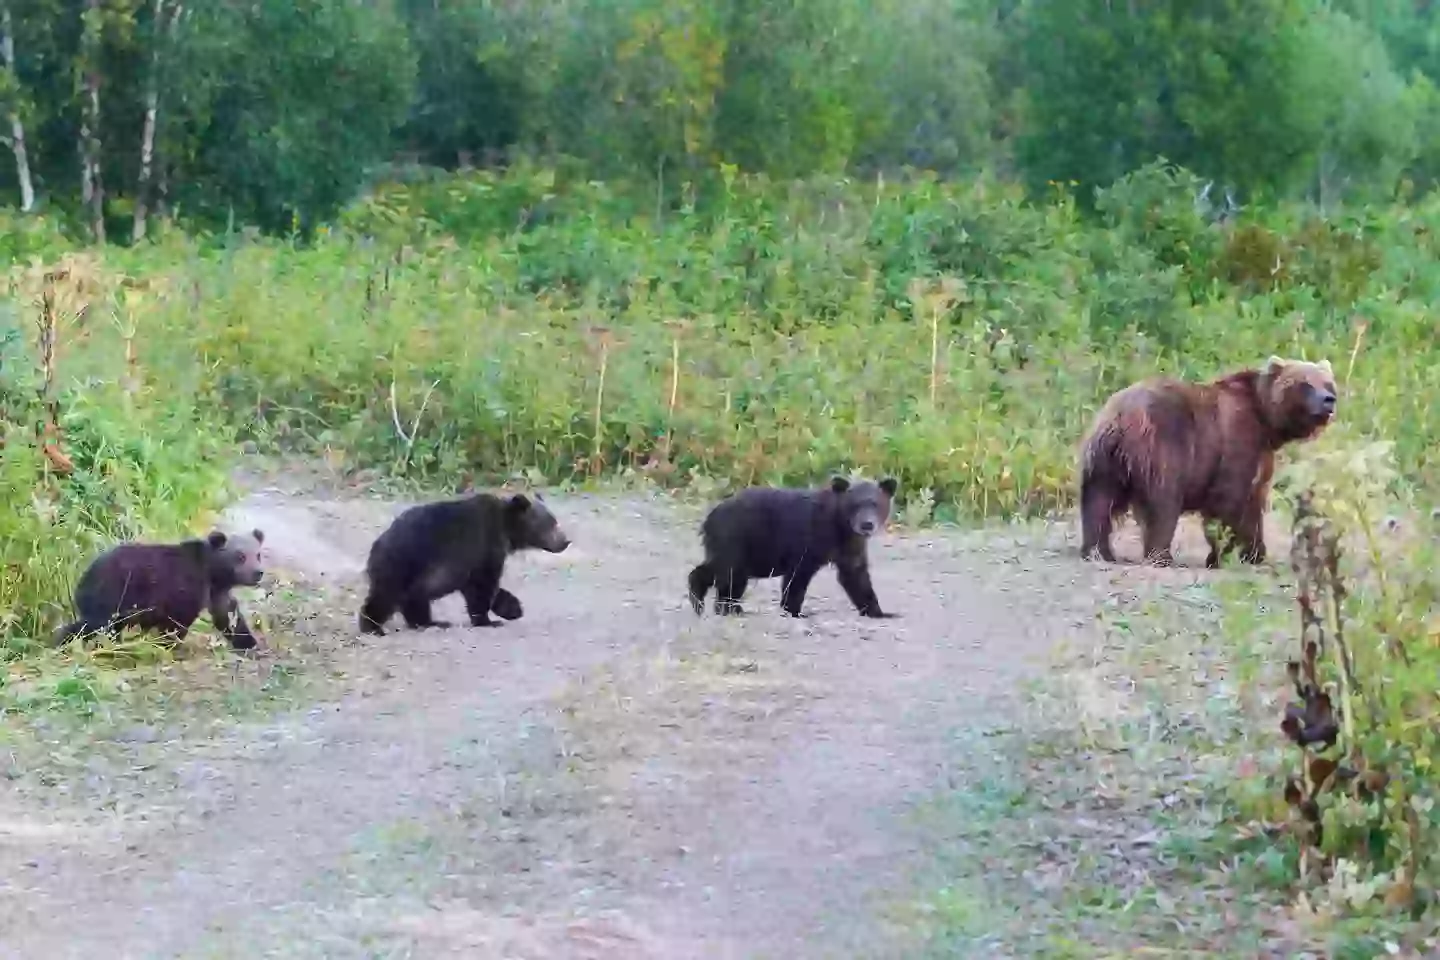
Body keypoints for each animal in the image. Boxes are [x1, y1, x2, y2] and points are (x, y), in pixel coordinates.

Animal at [53, 529, 267, 651]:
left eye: (257, 554)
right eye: (240, 556)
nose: (258, 572)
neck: (212, 574)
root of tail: (82, 580)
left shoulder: (217, 593)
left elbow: (228, 615)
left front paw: (248, 642)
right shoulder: (183, 588)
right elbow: (177, 620)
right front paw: (169, 643)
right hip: (111, 596)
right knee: (93, 625)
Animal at [357, 490, 570, 636]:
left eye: (555, 520)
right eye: (551, 523)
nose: (565, 541)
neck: (506, 529)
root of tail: (376, 546)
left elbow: (479, 586)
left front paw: (513, 608)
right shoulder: (483, 545)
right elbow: (483, 585)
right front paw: (488, 621)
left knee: (415, 600)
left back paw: (432, 622)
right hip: (402, 564)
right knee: (385, 596)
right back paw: (373, 627)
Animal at [686, 475, 900, 619]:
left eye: (876, 504)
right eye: (855, 504)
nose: (867, 525)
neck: (840, 527)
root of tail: (709, 518)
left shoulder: (850, 547)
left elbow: (856, 577)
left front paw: (880, 611)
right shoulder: (808, 540)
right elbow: (798, 577)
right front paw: (795, 610)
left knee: (730, 577)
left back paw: (728, 607)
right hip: (735, 540)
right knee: (727, 572)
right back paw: (709, 603)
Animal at [1078, 355, 1338, 568]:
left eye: (1328, 383)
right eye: (1305, 384)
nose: (1328, 400)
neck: (1266, 422)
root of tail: (1120, 417)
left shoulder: (1261, 455)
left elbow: (1254, 500)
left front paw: (1255, 553)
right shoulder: (1236, 439)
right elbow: (1229, 499)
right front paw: (1222, 554)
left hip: (1104, 460)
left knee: (1098, 500)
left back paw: (1098, 551)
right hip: (1163, 446)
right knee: (1162, 503)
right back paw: (1161, 555)